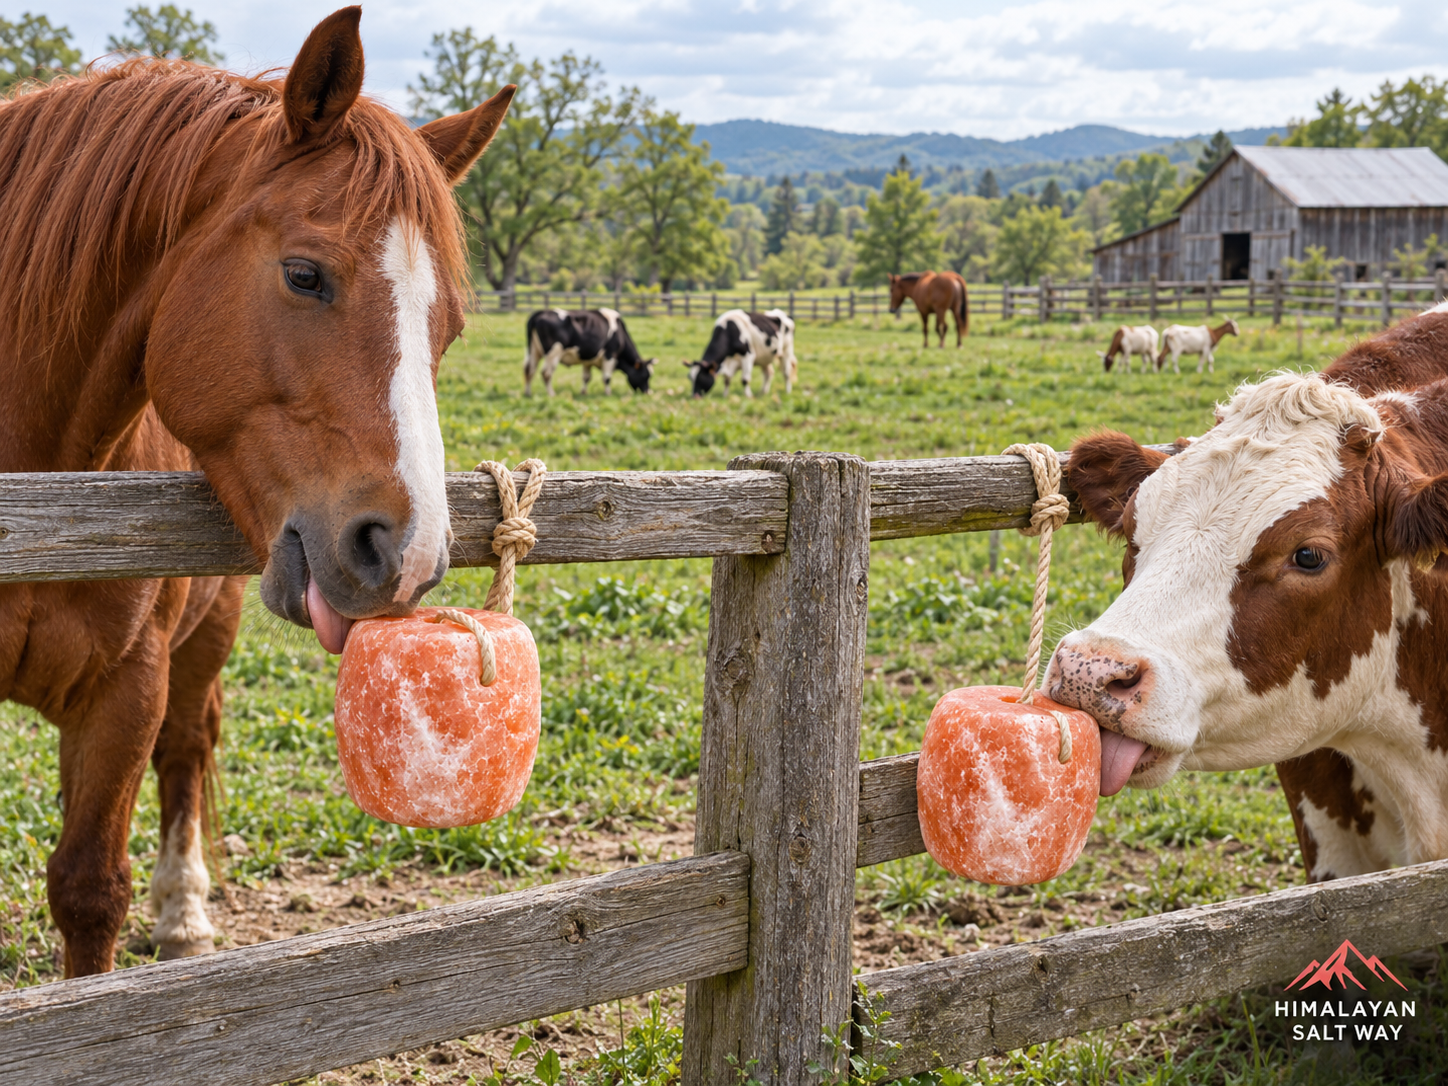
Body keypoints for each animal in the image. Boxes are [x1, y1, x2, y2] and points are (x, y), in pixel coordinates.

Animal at [0, 7, 514, 977]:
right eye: (305, 274)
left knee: (187, 748)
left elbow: (91, 887)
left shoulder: (129, 688)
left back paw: (185, 913)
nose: (408, 554)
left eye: (452, 323)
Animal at [523, 307, 655, 396]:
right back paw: (551, 394)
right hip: (553, 353)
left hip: (534, 351)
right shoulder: (610, 355)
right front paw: (608, 393)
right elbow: (607, 377)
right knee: (546, 373)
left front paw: (583, 392)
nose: (648, 392)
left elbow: (586, 377)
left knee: (529, 369)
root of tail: (541, 312)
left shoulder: (588, 360)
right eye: (645, 375)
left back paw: (528, 393)